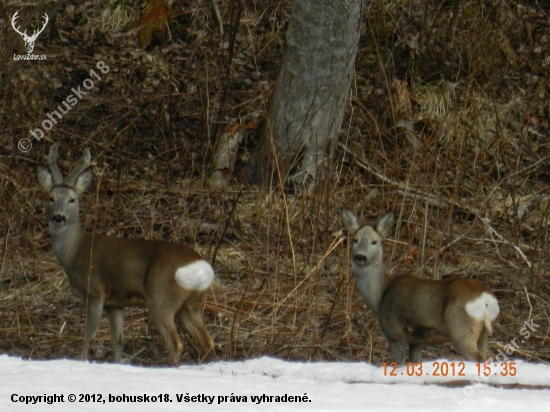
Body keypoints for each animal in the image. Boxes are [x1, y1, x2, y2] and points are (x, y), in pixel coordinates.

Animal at [37, 144, 216, 364]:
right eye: (51, 198)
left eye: (72, 199)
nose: (59, 217)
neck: (76, 250)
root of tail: (199, 266)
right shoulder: (115, 304)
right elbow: (118, 341)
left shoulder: (95, 292)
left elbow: (88, 337)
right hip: (191, 303)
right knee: (207, 342)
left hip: (161, 298)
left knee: (175, 344)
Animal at [340, 209, 500, 364]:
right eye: (355, 240)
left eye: (374, 241)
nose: (360, 256)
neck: (380, 295)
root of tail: (486, 298)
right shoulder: (416, 341)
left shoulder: (395, 332)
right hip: (483, 335)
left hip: (460, 329)